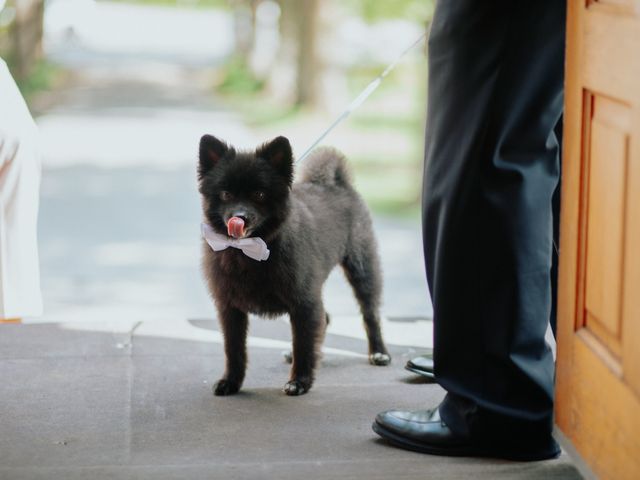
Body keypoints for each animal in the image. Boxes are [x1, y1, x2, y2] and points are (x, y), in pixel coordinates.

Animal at [200, 135, 390, 398]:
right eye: (226, 194)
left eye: (259, 194)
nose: (239, 216)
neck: (250, 251)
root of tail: (337, 183)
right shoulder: (230, 308)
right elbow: (234, 349)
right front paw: (231, 381)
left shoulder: (303, 302)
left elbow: (303, 344)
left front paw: (299, 381)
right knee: (325, 318)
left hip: (362, 269)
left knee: (370, 313)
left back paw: (379, 352)